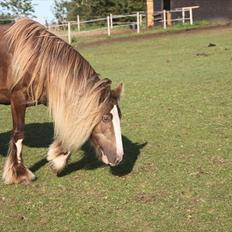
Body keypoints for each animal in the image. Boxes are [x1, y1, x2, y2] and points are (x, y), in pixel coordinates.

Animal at [0, 18, 124, 184]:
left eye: (119, 116)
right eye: (105, 118)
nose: (119, 158)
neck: (38, 62)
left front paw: (57, 161)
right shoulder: (17, 100)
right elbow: (19, 135)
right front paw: (19, 173)